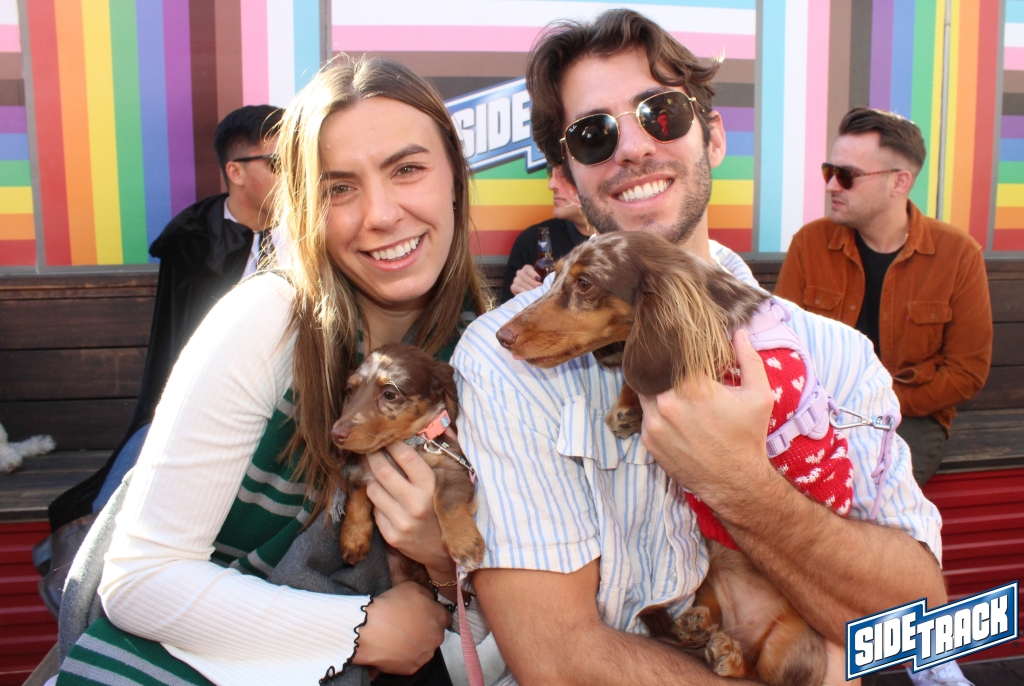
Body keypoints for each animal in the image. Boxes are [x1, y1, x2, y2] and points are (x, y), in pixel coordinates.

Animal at [330, 343, 485, 573]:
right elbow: (357, 500)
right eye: (350, 390)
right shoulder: (361, 471)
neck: (407, 442)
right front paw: (353, 537)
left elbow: (445, 500)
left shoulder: (453, 467)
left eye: (389, 394)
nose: (336, 435)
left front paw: (463, 542)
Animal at [495, 231, 852, 686]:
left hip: (786, 645)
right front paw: (627, 407)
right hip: (706, 589)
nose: (502, 336)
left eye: (586, 283)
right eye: (552, 275)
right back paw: (696, 628)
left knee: (759, 673)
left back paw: (730, 656)